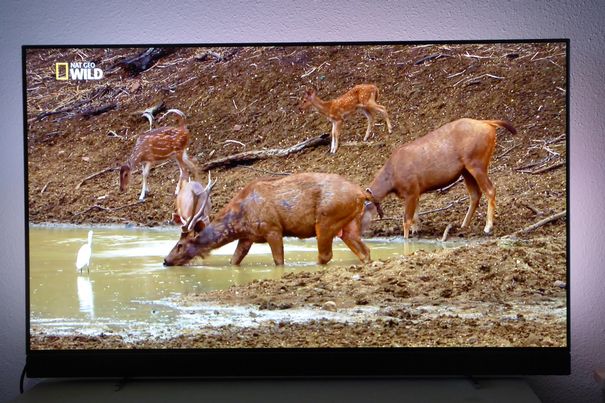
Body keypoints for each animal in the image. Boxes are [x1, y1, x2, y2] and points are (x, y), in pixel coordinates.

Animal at [163, 172, 376, 266]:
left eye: (180, 244)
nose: (165, 260)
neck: (240, 221)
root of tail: (361, 193)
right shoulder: (247, 237)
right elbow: (234, 260)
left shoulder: (272, 228)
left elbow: (278, 260)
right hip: (349, 224)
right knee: (365, 251)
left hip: (326, 219)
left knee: (325, 255)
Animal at [364, 119, 516, 240]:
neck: (391, 180)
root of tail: (489, 124)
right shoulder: (416, 191)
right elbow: (415, 218)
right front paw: (416, 232)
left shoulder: (411, 189)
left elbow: (406, 220)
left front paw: (406, 240)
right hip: (466, 171)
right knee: (475, 194)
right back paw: (463, 225)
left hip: (477, 163)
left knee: (490, 190)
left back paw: (487, 227)